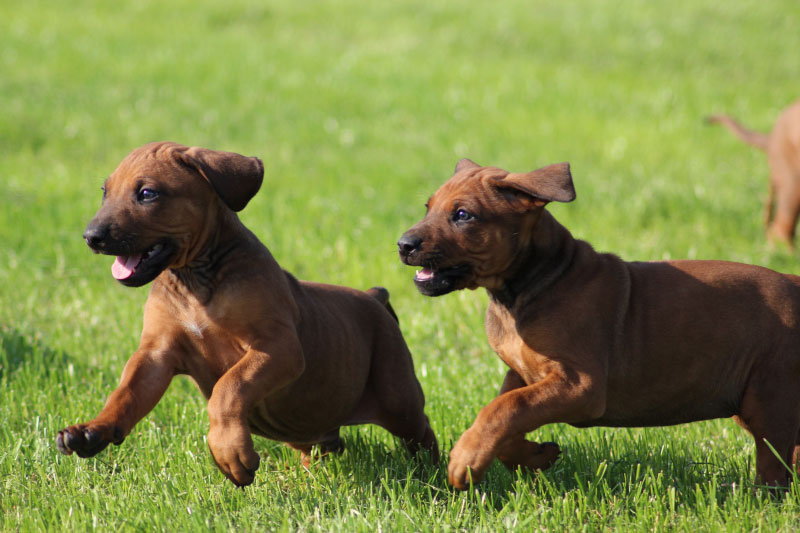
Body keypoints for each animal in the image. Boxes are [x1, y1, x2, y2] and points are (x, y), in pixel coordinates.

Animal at [56, 141, 438, 486]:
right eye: (105, 192)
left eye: (148, 193)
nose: (91, 237)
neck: (196, 280)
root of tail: (375, 297)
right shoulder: (156, 354)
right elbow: (126, 393)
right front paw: (94, 430)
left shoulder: (278, 348)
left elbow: (228, 387)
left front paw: (229, 450)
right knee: (323, 445)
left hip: (397, 394)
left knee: (421, 432)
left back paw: (435, 473)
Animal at [400, 158, 800, 490]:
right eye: (428, 207)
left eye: (463, 215)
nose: (403, 244)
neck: (532, 285)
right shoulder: (522, 372)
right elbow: (507, 414)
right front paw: (534, 456)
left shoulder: (581, 386)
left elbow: (504, 408)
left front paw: (465, 459)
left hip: (770, 399)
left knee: (775, 472)